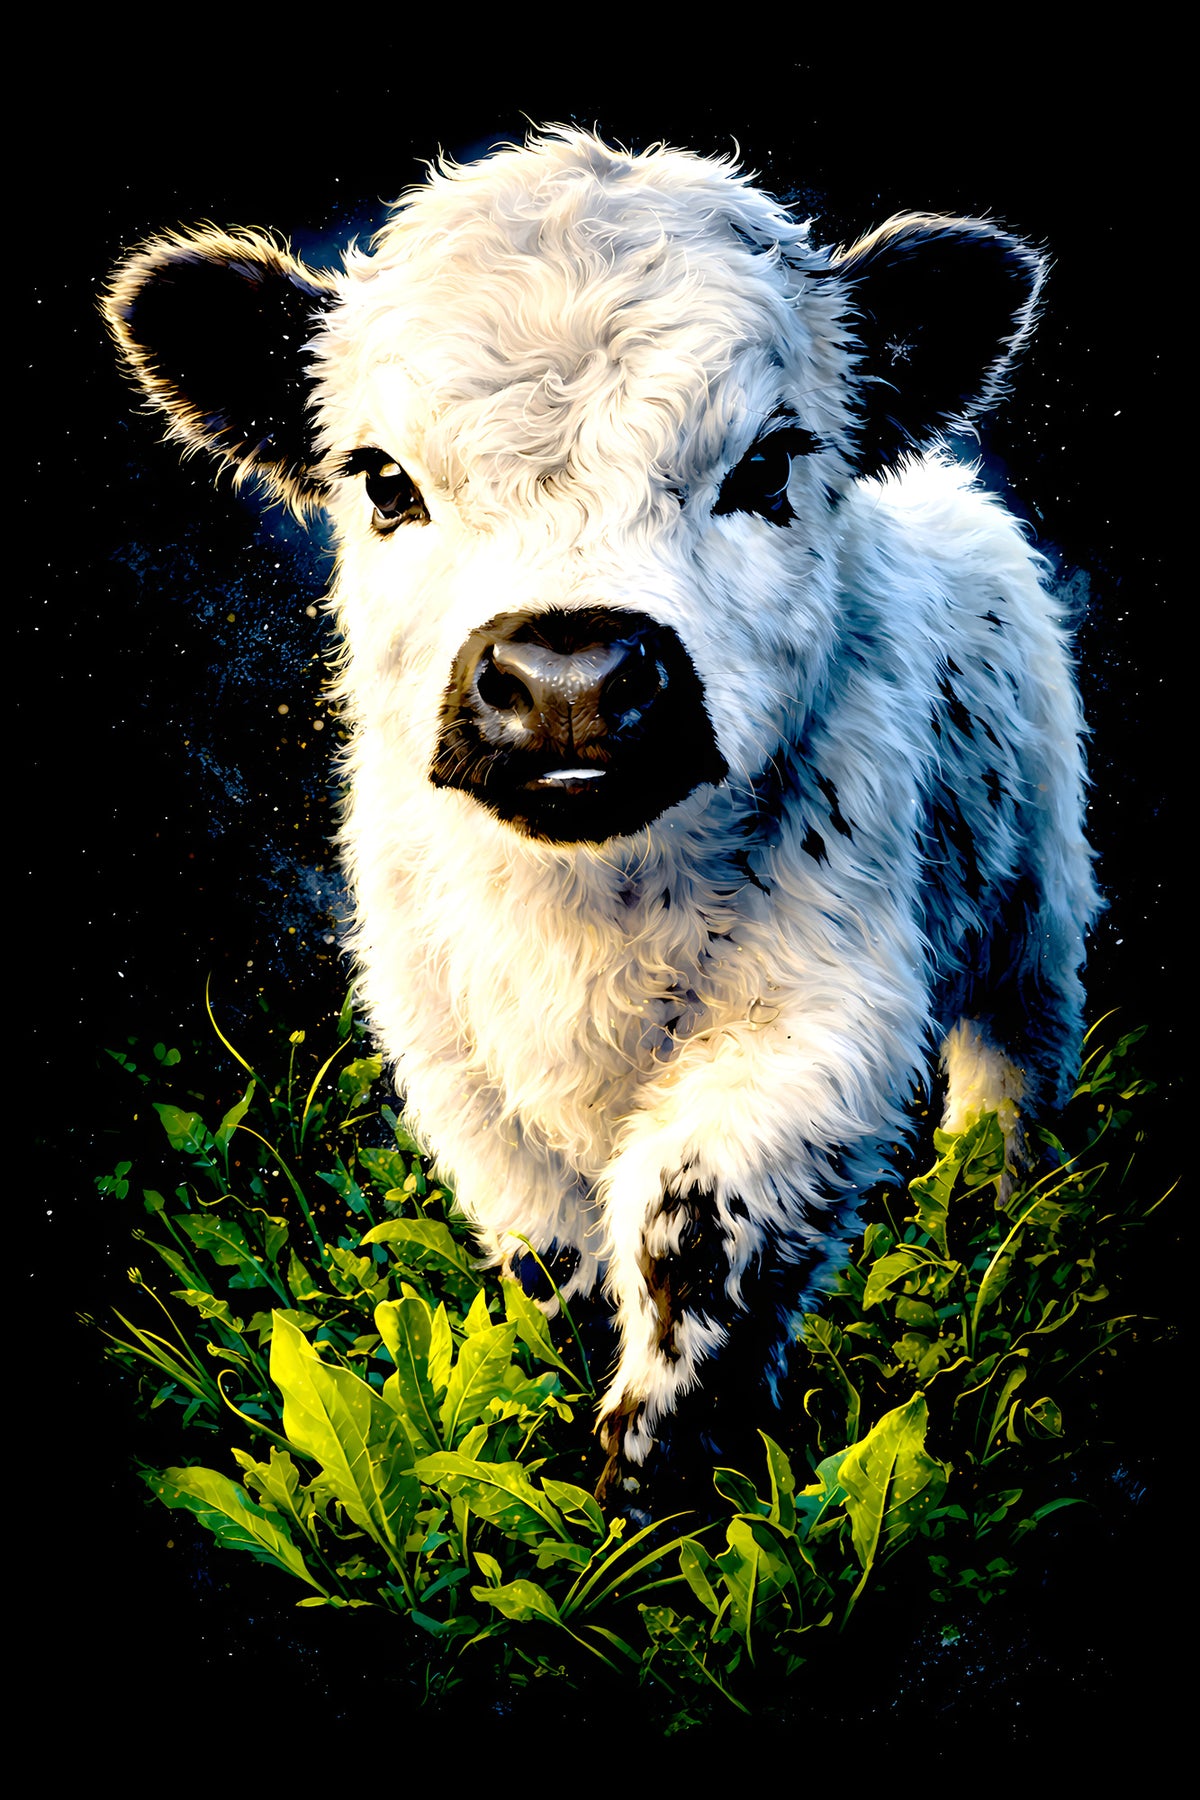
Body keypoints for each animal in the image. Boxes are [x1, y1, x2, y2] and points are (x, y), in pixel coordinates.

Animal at [103, 127, 1098, 1511]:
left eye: (768, 463)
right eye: (383, 480)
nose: (568, 681)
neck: (588, 917)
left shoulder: (828, 1009)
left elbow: (694, 1217)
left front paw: (653, 1475)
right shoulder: (446, 1040)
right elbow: (547, 1247)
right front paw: (562, 1411)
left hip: (1034, 903)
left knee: (1015, 1071)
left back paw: (992, 1228)